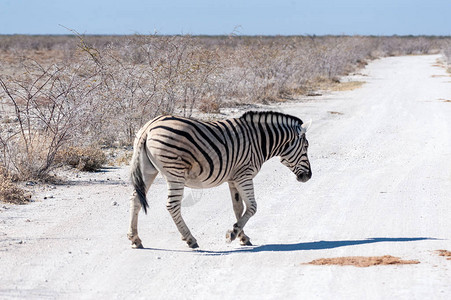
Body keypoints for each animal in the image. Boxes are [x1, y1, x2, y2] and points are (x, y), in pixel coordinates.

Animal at [126, 110, 310, 248]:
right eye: (306, 147)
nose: (308, 177)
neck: (259, 141)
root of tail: (148, 127)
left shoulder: (234, 178)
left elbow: (238, 208)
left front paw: (242, 236)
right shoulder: (244, 175)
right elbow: (252, 207)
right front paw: (233, 234)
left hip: (148, 170)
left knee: (135, 199)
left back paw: (135, 239)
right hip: (175, 173)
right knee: (172, 206)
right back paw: (190, 239)